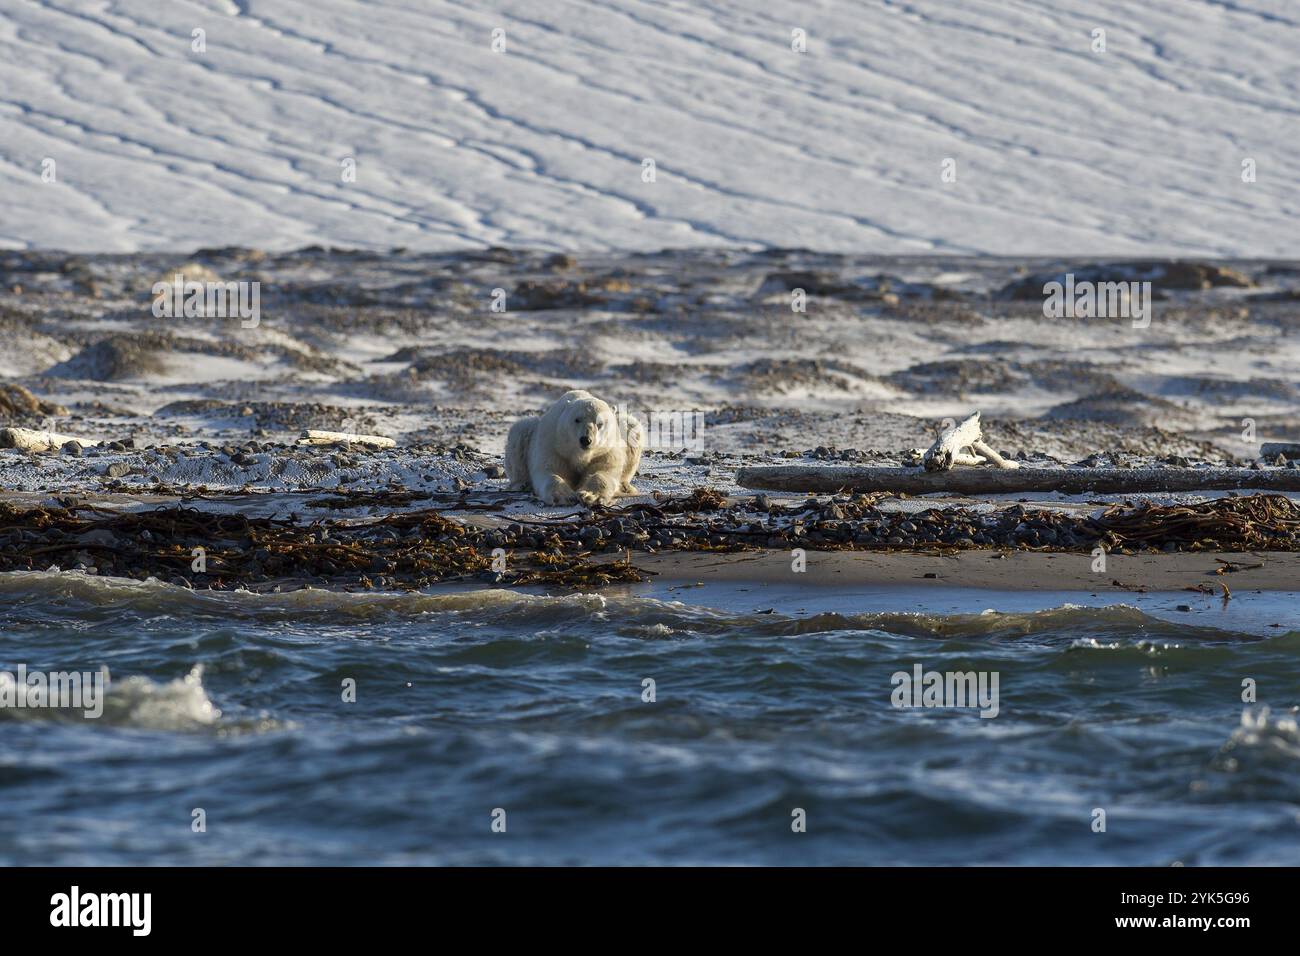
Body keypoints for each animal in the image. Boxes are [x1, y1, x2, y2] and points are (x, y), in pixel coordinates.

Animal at [509, 390, 647, 509]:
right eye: (577, 419)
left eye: (600, 423)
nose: (585, 439)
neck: (579, 453)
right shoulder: (553, 444)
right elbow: (549, 470)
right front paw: (565, 495)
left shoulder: (605, 450)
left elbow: (604, 471)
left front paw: (589, 495)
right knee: (520, 430)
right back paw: (522, 484)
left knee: (631, 425)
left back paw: (625, 486)